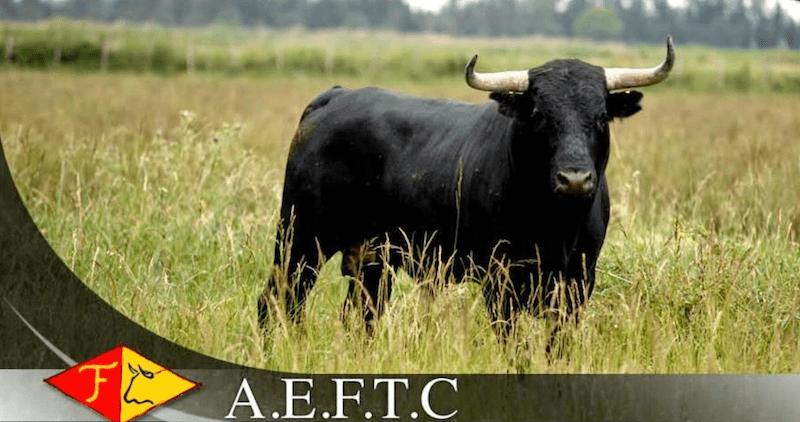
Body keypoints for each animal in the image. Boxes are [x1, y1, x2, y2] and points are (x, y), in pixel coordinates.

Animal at [258, 37, 676, 340]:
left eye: (601, 116)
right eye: (539, 115)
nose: (574, 180)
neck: (555, 227)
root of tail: (335, 96)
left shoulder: (578, 284)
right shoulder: (500, 281)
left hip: (373, 260)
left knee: (361, 314)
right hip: (300, 240)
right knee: (278, 299)